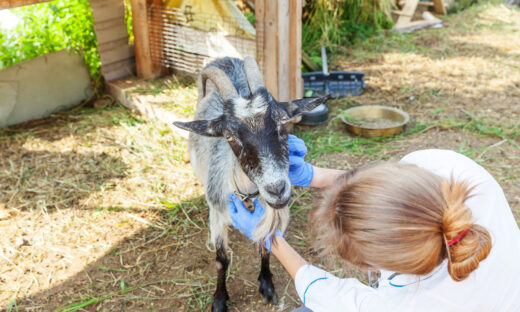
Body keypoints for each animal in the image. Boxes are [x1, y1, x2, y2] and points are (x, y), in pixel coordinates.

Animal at [175, 56, 330, 312]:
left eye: (282, 123)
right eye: (228, 136)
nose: (277, 190)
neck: (246, 195)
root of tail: (225, 58)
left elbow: (266, 247)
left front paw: (266, 285)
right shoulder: (217, 215)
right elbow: (221, 260)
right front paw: (219, 300)